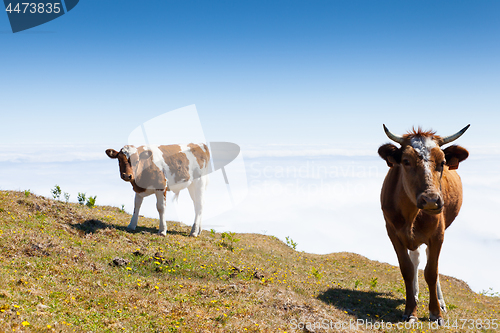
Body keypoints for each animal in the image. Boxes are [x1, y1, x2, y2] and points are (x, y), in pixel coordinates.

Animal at [378, 124, 468, 324]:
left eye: (442, 162)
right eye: (406, 161)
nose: (431, 200)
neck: (411, 214)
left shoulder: (437, 235)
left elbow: (431, 272)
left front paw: (436, 312)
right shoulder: (392, 233)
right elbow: (407, 269)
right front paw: (410, 310)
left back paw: (440, 302)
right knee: (416, 258)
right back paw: (415, 293)